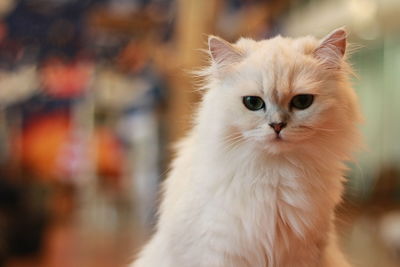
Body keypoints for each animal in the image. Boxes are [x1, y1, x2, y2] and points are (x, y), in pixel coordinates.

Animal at [131, 28, 362, 267]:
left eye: (302, 101)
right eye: (253, 103)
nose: (277, 126)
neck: (275, 174)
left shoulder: (303, 253)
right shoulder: (222, 252)